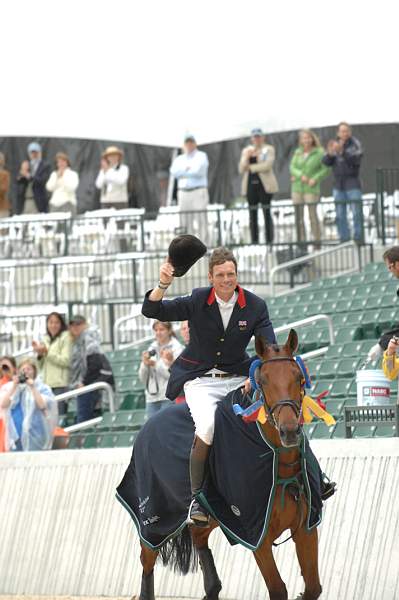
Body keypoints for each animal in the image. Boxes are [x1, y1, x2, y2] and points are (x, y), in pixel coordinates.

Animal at [130, 330, 322, 600]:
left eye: (299, 377)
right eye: (263, 380)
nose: (290, 431)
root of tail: (149, 423)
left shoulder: (306, 529)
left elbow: (313, 587)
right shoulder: (257, 535)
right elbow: (278, 589)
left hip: (210, 519)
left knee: (200, 542)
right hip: (155, 521)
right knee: (146, 559)